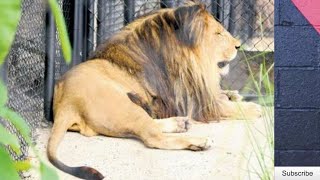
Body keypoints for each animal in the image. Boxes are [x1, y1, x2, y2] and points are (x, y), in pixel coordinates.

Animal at [48, 2, 262, 179]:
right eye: (218, 34)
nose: (238, 46)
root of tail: (65, 101)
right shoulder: (190, 100)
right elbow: (225, 107)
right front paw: (253, 108)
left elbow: (223, 97)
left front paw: (233, 95)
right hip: (125, 106)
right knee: (153, 137)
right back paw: (198, 141)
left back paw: (180, 123)